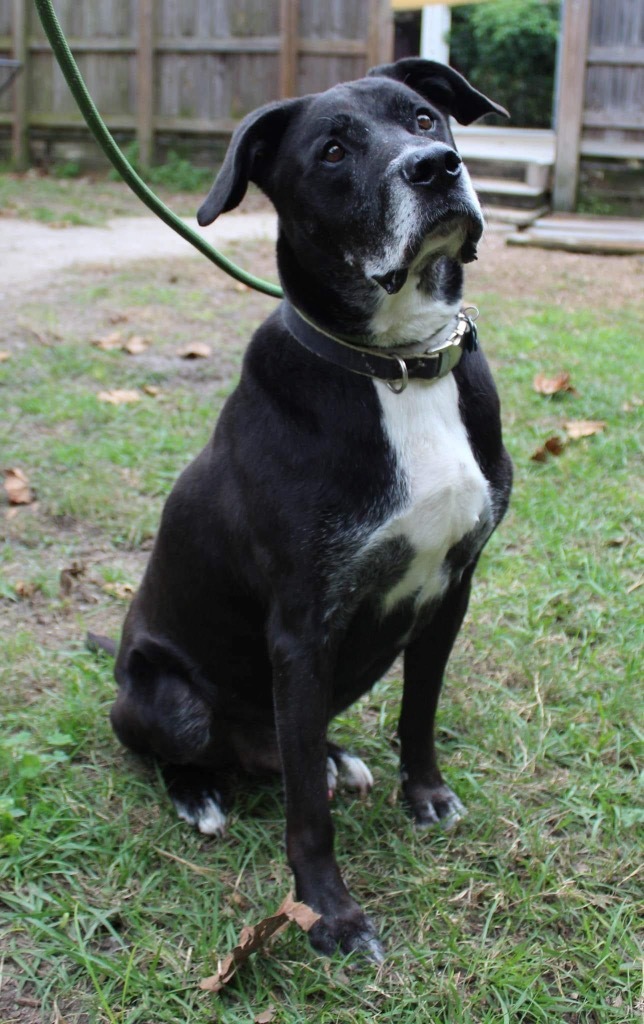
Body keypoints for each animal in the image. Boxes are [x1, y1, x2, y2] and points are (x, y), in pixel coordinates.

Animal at [110, 59, 511, 958]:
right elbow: (304, 814)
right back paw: (201, 795)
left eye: (425, 117)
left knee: (296, 750)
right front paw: (330, 913)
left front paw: (425, 796)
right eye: (332, 151)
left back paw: (331, 756)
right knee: (192, 753)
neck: (398, 367)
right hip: (168, 698)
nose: (436, 167)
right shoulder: (302, 628)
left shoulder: (452, 587)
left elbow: (420, 712)